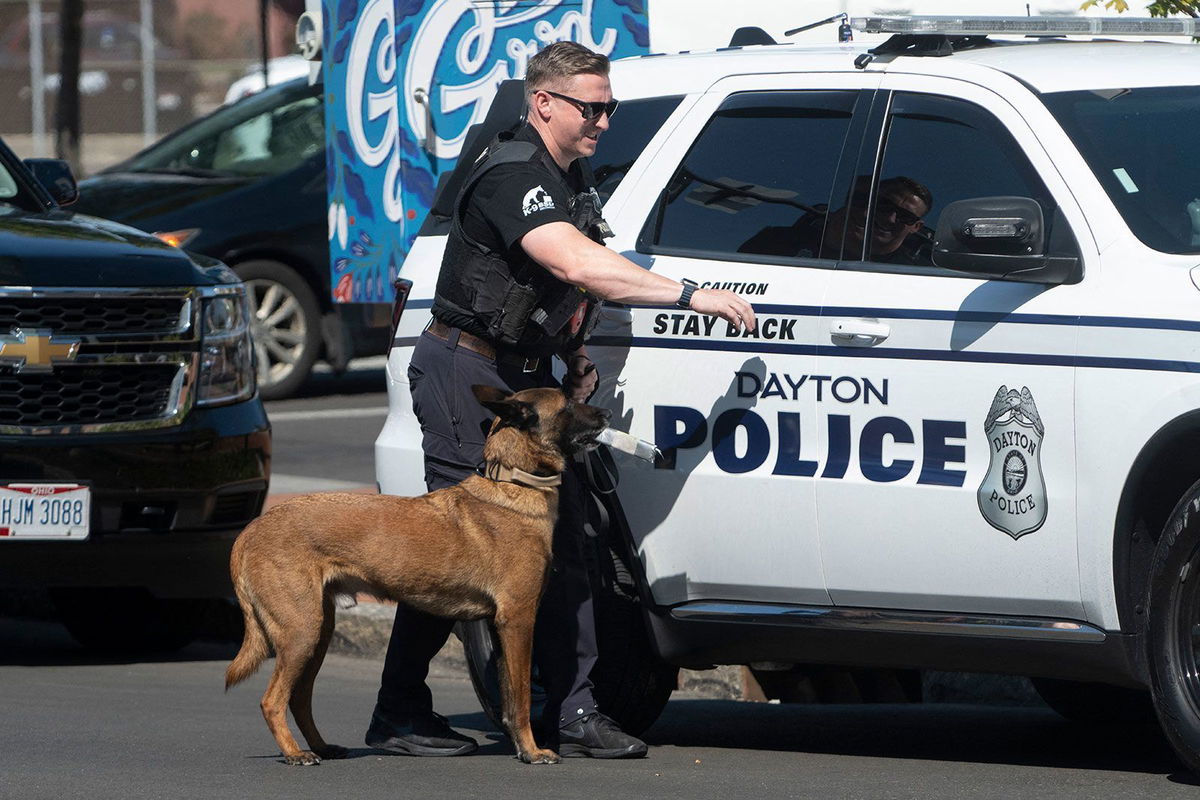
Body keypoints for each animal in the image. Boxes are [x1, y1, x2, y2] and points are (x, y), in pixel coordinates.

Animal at [223, 383, 609, 767]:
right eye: (568, 404)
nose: (605, 413)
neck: (515, 483)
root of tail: (249, 532)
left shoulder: (502, 630)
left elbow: (511, 701)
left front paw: (520, 746)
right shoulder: (518, 620)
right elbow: (524, 697)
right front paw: (531, 750)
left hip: (318, 633)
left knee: (299, 698)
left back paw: (320, 747)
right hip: (302, 632)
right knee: (273, 700)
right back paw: (295, 753)